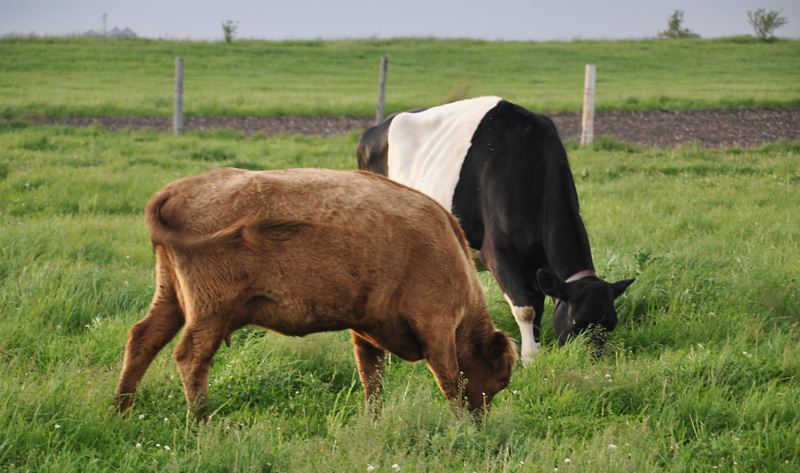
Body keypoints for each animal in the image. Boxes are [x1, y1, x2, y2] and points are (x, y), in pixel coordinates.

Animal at [112, 167, 516, 417]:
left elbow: (372, 381)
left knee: (143, 339)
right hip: (211, 310)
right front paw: (458, 426)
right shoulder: (437, 327)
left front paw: (372, 421)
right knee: (190, 356)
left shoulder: (367, 330)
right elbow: (449, 380)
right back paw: (201, 422)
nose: (481, 423)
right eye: (501, 380)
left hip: (172, 297)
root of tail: (176, 191)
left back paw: (120, 411)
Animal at [357, 96, 634, 364]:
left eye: (611, 324)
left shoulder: (535, 264)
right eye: (577, 322)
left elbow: (536, 306)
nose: (591, 361)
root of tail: (374, 129)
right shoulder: (498, 253)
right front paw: (530, 359)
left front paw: (533, 351)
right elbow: (525, 309)